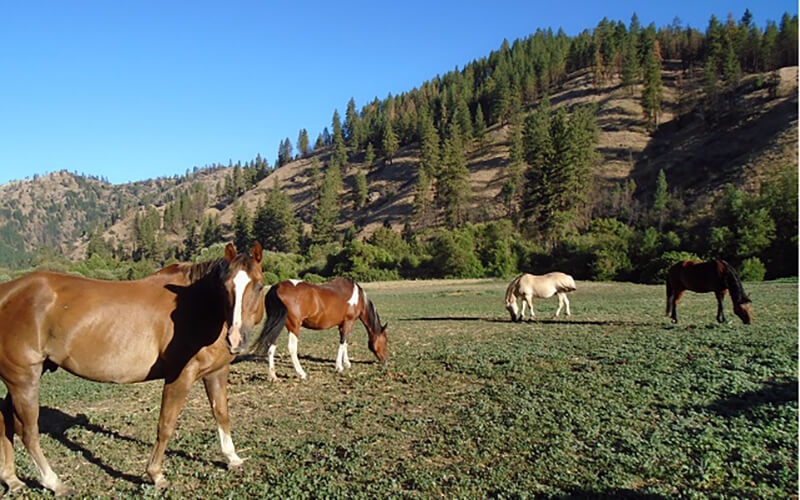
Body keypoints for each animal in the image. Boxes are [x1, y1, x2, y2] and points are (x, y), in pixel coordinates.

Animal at [0, 243, 266, 496]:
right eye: (226, 287)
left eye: (259, 286)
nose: (236, 339)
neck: (198, 307)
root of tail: (7, 293)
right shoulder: (180, 376)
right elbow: (166, 425)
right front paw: (156, 475)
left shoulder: (216, 372)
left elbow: (221, 413)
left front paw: (232, 458)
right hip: (24, 379)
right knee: (29, 432)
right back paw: (53, 482)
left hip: (22, 378)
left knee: (6, 421)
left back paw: (12, 480)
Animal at [250, 278, 388, 378]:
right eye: (386, 341)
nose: (385, 361)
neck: (358, 297)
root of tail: (276, 287)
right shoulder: (348, 322)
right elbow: (343, 342)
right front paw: (339, 366)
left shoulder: (343, 325)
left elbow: (345, 342)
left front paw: (346, 363)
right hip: (294, 327)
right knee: (292, 348)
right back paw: (302, 373)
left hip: (278, 325)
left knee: (271, 345)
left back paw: (272, 375)